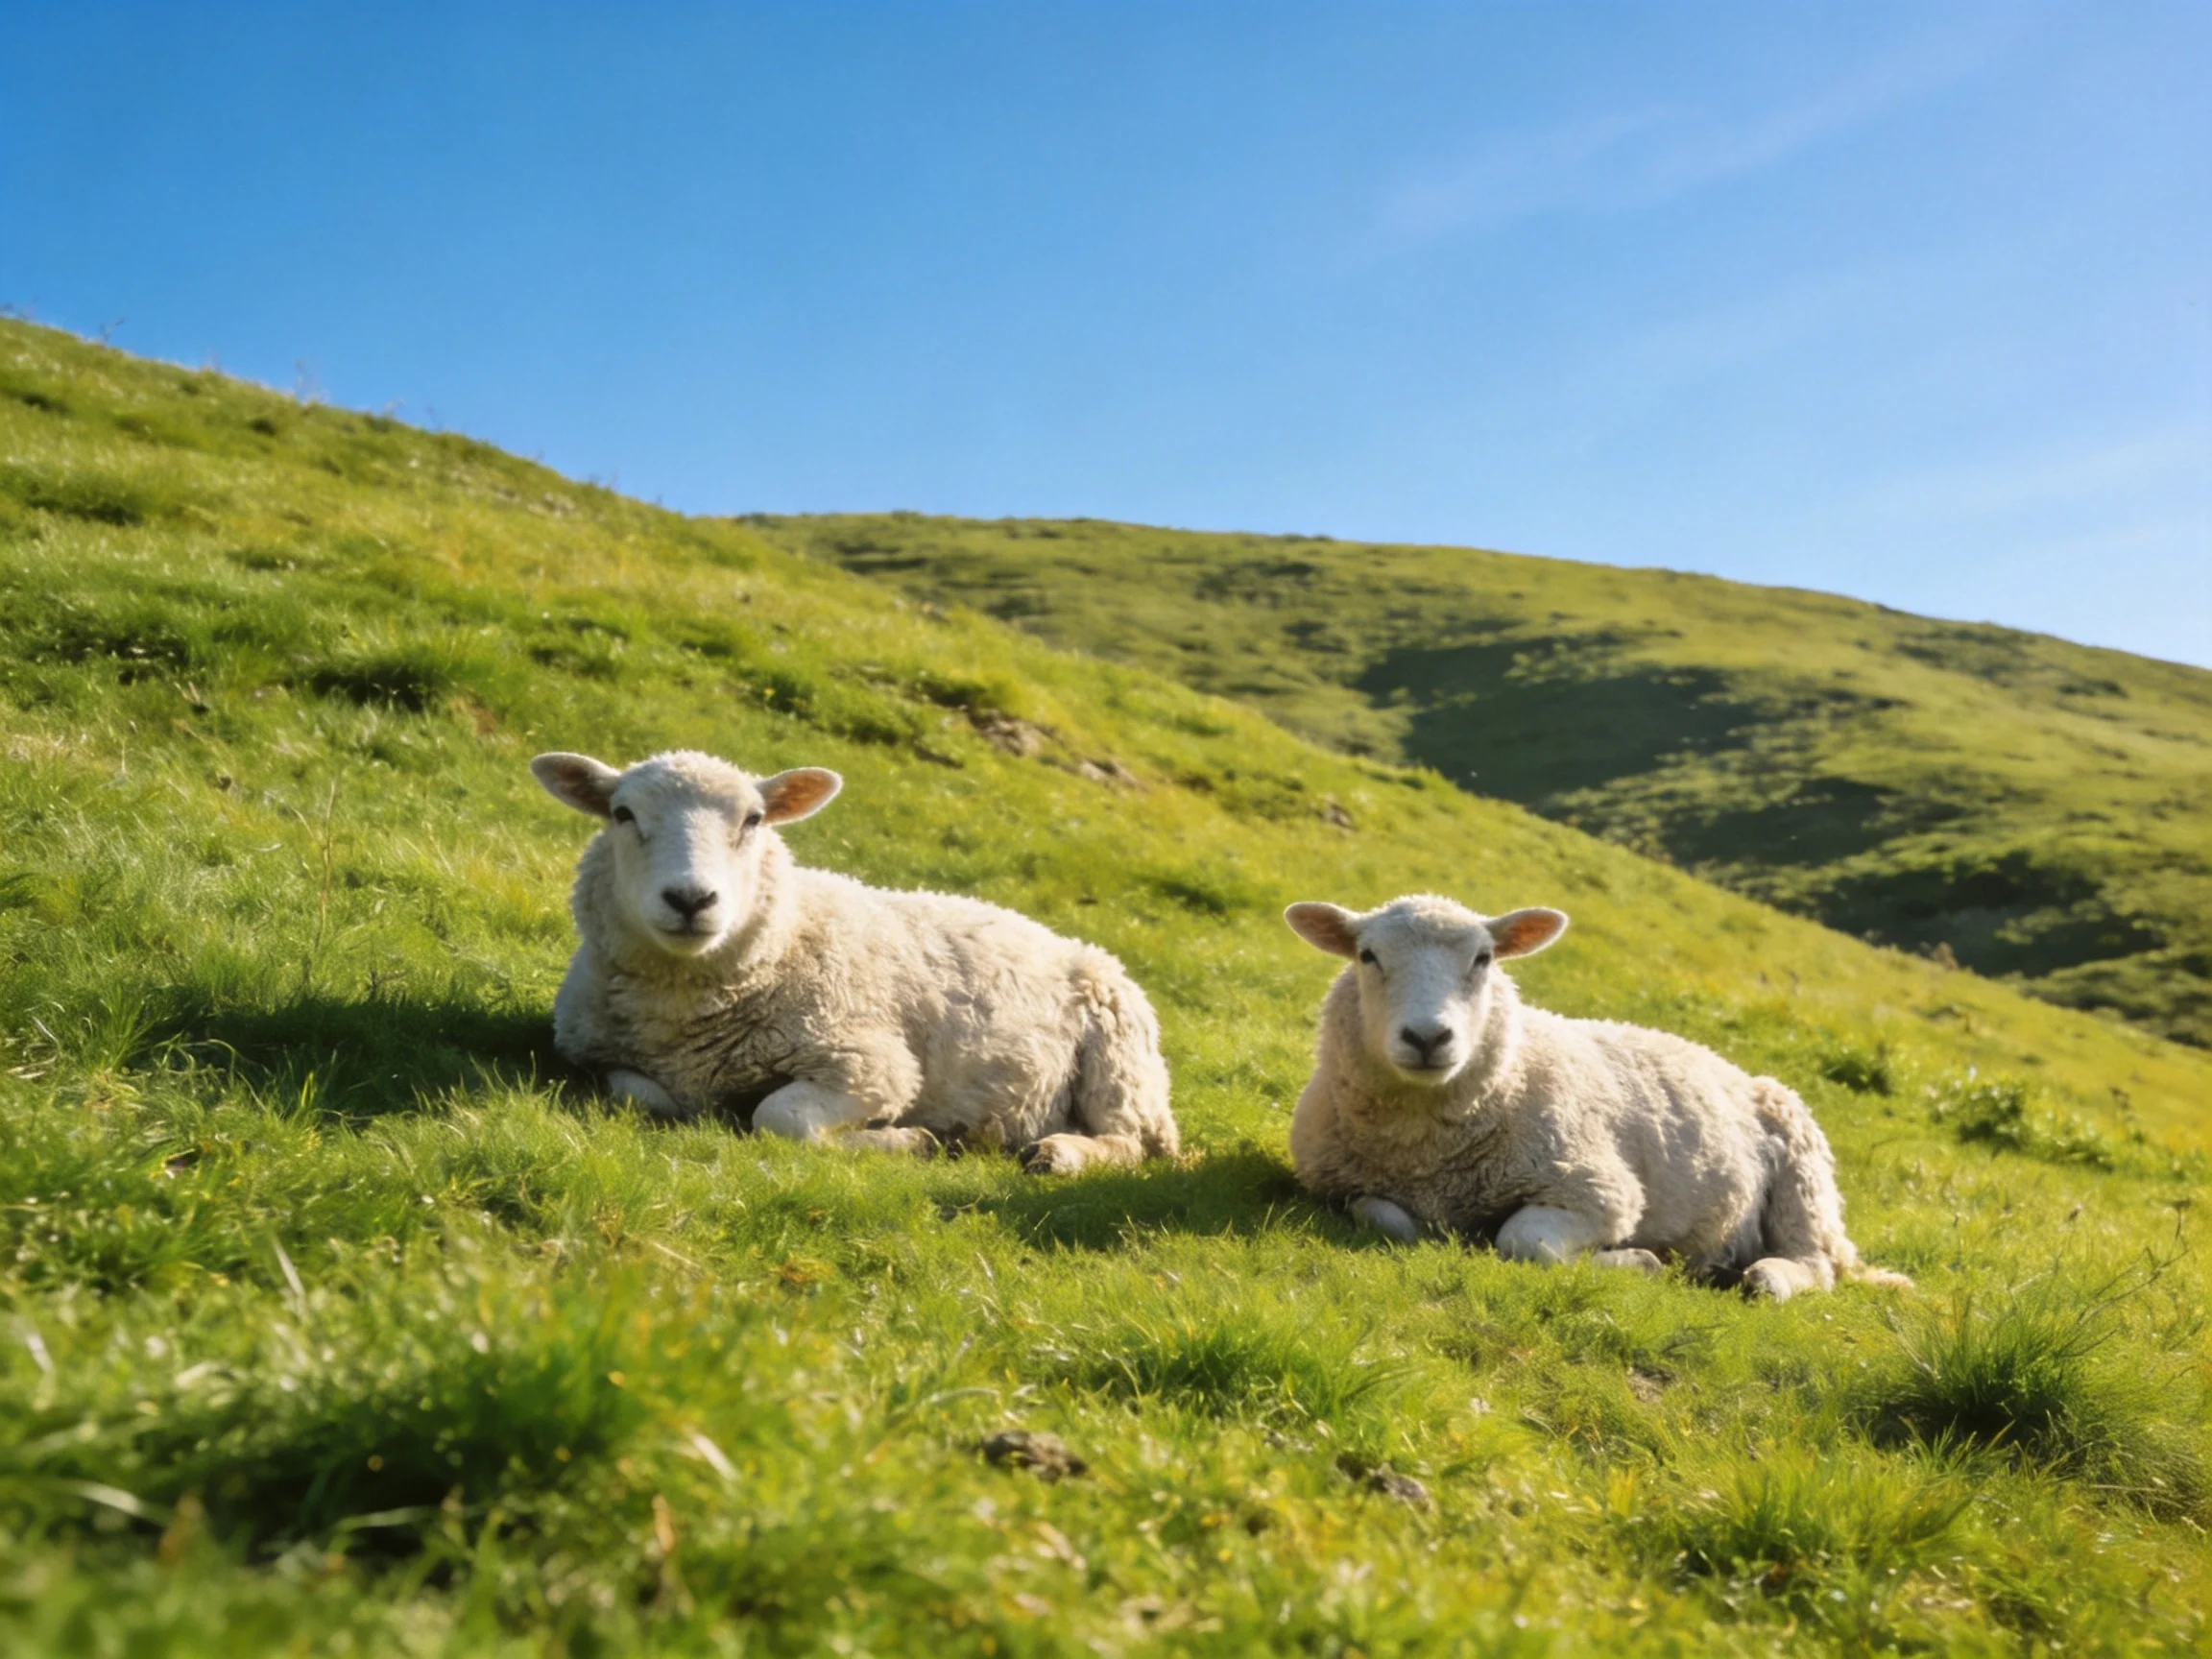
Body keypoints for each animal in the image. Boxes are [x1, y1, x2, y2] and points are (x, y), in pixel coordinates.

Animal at [530, 749, 1179, 1172]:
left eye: (753, 820)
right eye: (622, 814)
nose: (691, 899)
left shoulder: (870, 1064)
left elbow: (779, 1117)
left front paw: (910, 1141)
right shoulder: (598, 1055)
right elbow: (638, 1097)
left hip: (1121, 1064)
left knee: (1127, 1144)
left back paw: (1059, 1155)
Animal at [1283, 893, 1908, 1300]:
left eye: (1484, 959)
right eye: (1367, 956)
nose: (1428, 1037)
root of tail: (1737, 1068)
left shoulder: (1600, 1191)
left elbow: (1523, 1241)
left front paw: (1637, 1262)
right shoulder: (1344, 1185)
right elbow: (1386, 1219)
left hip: (1802, 1185)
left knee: (1816, 1266)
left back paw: (1764, 1280)